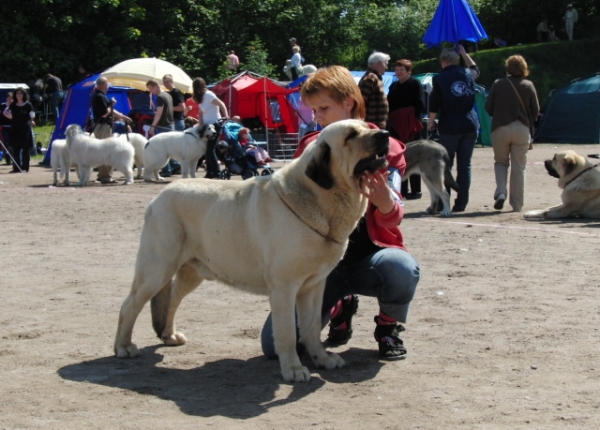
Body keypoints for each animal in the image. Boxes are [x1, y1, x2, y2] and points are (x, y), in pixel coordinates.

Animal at [115, 120, 392, 382]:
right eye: (351, 136)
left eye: (367, 127)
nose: (385, 134)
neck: (320, 196)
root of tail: (158, 198)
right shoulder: (284, 287)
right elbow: (287, 333)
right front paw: (293, 369)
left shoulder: (314, 287)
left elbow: (312, 327)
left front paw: (322, 359)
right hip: (156, 269)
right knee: (129, 305)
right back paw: (124, 346)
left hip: (191, 273)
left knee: (172, 299)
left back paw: (169, 335)